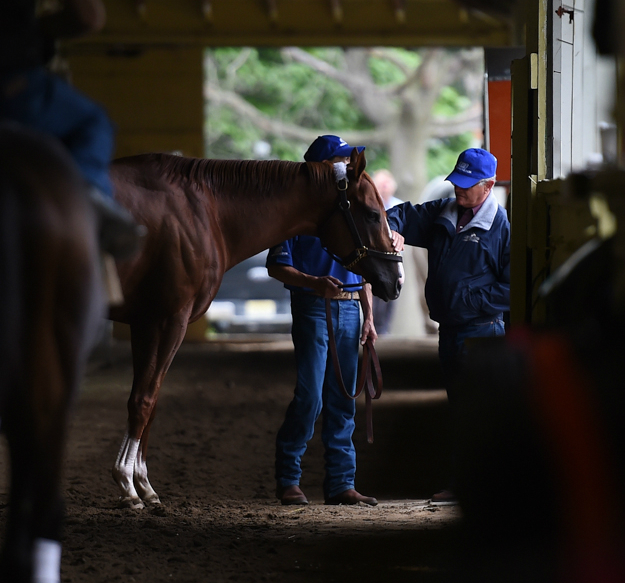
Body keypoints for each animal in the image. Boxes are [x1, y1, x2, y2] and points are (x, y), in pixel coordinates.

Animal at [108, 148, 400, 508]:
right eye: (373, 214)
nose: (396, 280)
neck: (203, 211)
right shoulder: (168, 320)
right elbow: (144, 399)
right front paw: (127, 484)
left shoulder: (145, 323)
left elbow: (149, 399)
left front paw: (144, 486)